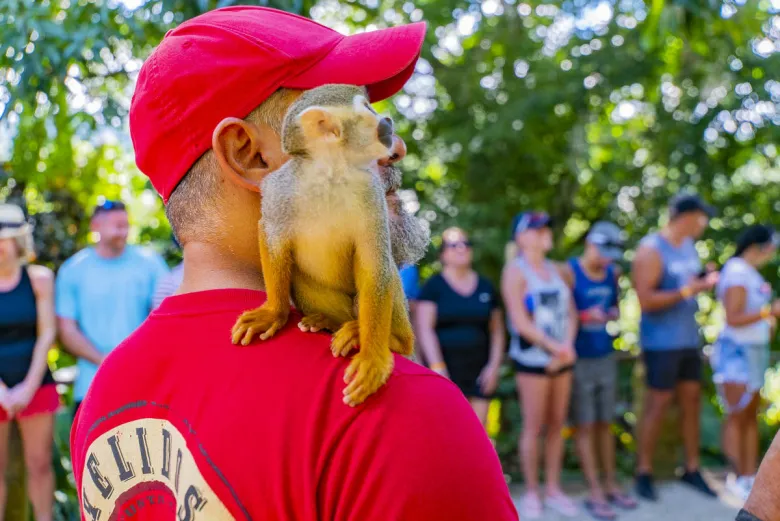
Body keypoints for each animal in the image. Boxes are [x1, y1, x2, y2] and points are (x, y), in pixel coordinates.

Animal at [230, 84, 415, 407]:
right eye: (368, 108)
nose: (388, 122)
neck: (330, 173)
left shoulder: (370, 191)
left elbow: (375, 262)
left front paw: (373, 358)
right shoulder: (281, 185)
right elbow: (271, 232)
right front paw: (274, 312)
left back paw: (387, 338)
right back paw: (330, 321)